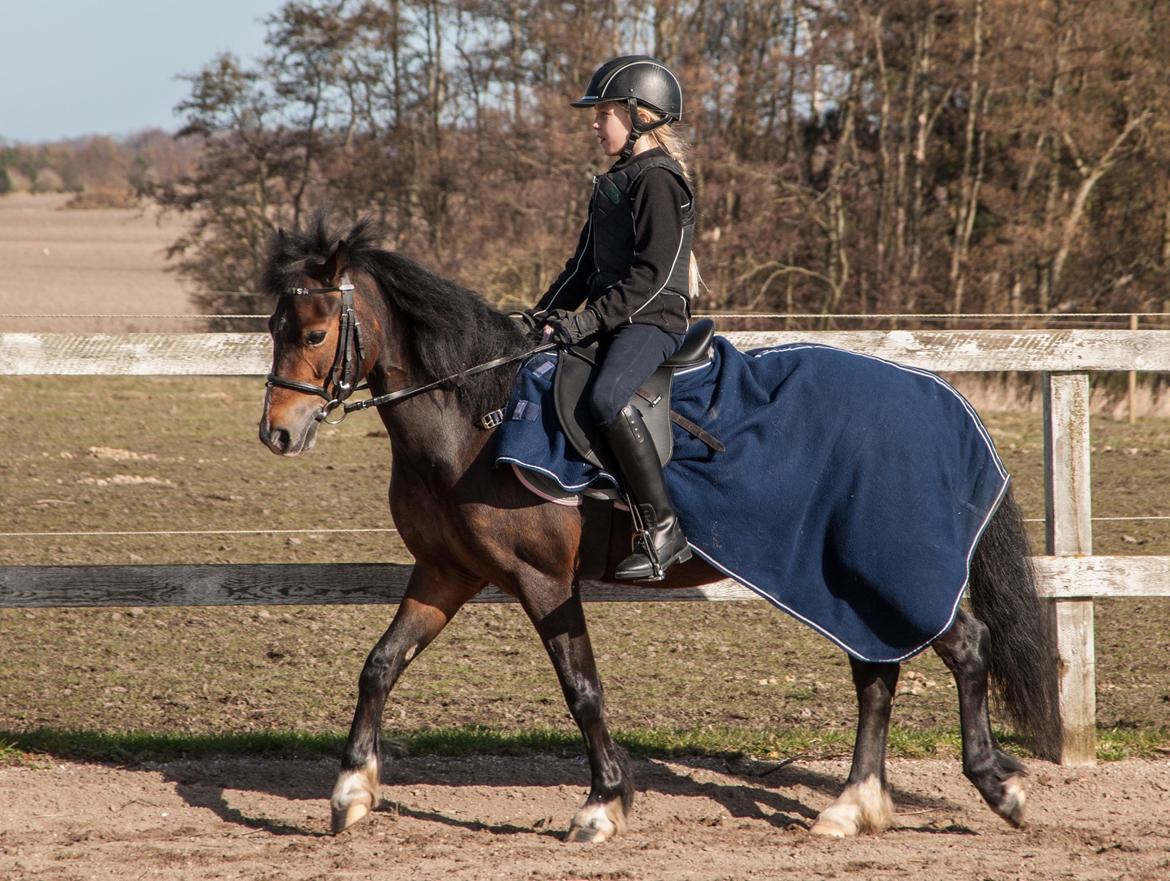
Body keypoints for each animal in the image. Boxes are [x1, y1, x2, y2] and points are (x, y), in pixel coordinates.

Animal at [260, 216, 1057, 842]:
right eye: (272, 329)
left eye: (316, 331)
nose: (278, 433)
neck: (477, 416)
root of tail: (941, 397)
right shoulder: (445, 572)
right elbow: (379, 664)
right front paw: (351, 791)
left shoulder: (542, 580)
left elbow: (581, 687)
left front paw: (602, 805)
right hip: (845, 579)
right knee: (877, 672)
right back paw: (852, 806)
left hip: (884, 572)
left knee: (965, 647)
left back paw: (1000, 787)